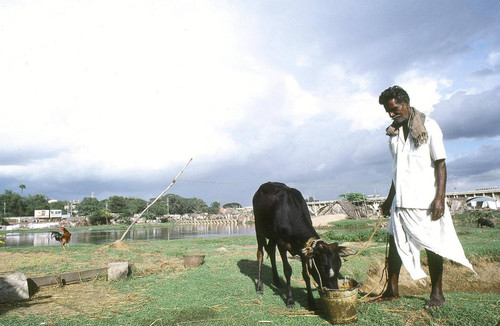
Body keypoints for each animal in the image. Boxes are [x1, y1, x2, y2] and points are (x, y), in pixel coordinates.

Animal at [254, 182, 356, 310]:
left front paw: (311, 301)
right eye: (323, 267)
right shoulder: (282, 245)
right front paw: (290, 300)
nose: (334, 289)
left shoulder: (303, 249)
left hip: (272, 237)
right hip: (259, 229)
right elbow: (287, 270)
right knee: (260, 254)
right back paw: (259, 286)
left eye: (339, 266)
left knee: (271, 251)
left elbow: (306, 274)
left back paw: (277, 281)